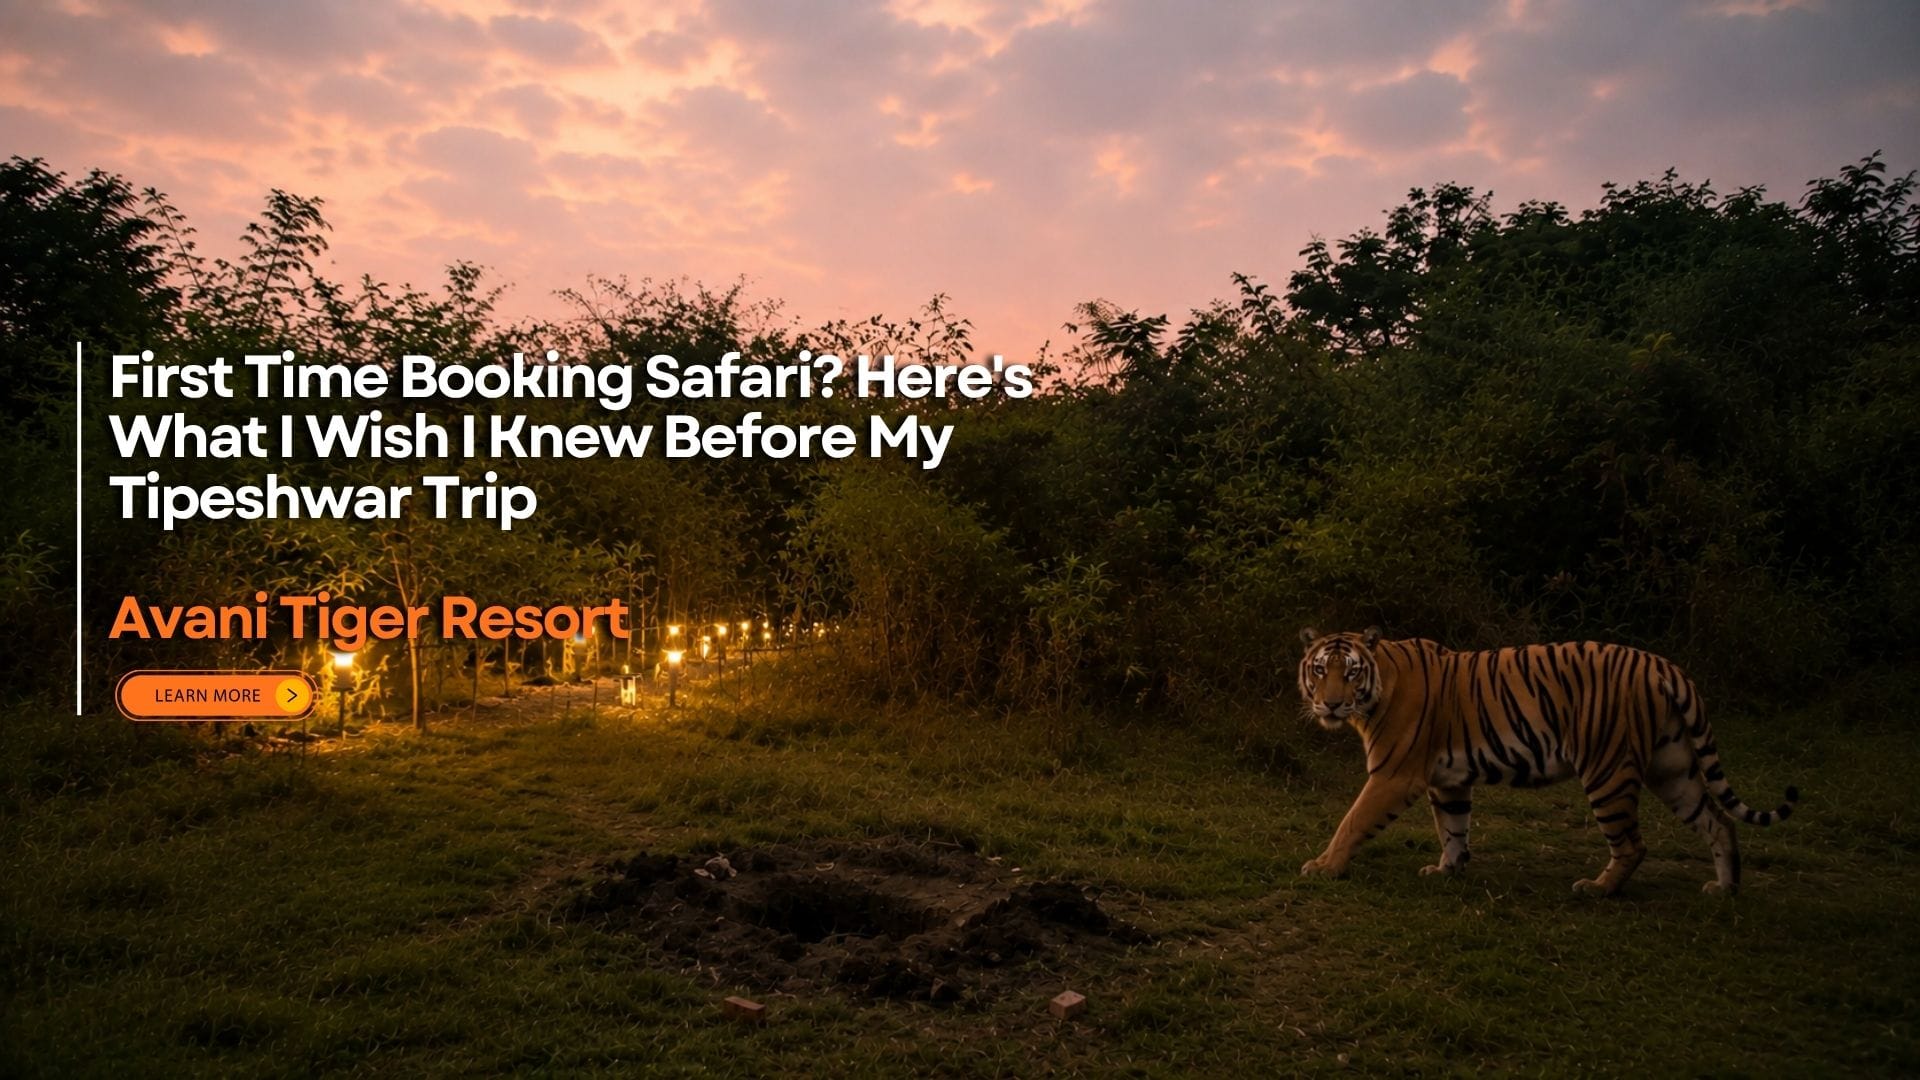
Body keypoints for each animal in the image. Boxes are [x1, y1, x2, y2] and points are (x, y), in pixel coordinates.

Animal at [1295, 627, 1798, 896]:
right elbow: (1453, 828)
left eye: (1351, 672)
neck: (1378, 687)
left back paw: (1597, 889)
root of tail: (1664, 666)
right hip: (1673, 769)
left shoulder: (1394, 775)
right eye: (1320, 670)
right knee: (1718, 821)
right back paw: (1724, 889)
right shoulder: (1448, 781)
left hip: (1608, 770)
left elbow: (1353, 821)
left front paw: (1323, 867)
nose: (1332, 704)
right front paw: (1446, 871)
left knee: (1633, 844)